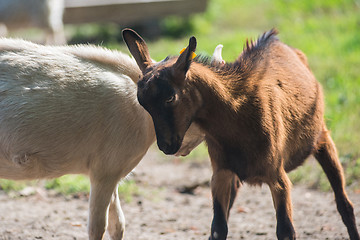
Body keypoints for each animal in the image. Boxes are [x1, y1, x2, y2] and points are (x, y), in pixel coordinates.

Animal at [0, 38, 207, 239]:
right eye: (171, 98)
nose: (170, 146)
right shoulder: (104, 172)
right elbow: (98, 227)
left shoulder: (113, 173)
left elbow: (118, 225)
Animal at [122, 28, 358, 240]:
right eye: (143, 103)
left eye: (170, 97)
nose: (166, 146)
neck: (237, 117)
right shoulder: (221, 173)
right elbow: (218, 229)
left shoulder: (278, 177)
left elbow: (285, 231)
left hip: (322, 138)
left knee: (344, 203)